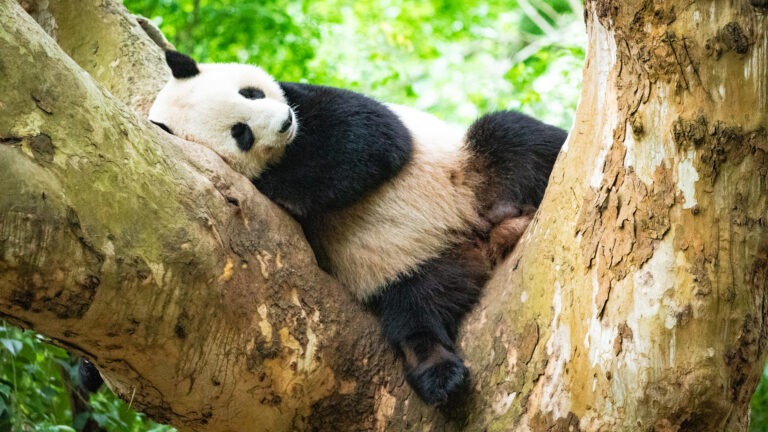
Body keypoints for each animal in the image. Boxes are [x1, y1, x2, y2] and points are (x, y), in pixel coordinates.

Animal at [145, 50, 566, 405]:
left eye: (250, 93)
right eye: (241, 132)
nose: (284, 122)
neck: (291, 148)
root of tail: (481, 239)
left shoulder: (306, 99)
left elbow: (372, 139)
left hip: (467, 168)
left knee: (515, 138)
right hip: (410, 265)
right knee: (413, 309)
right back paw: (438, 374)